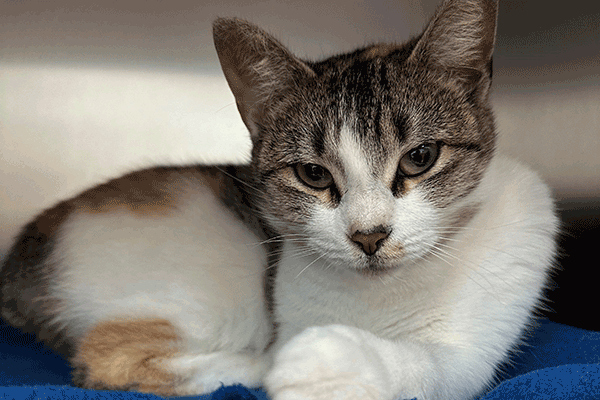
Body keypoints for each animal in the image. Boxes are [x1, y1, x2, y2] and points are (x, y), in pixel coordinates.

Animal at [0, 0, 556, 400]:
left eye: (420, 157)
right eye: (313, 174)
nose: (369, 236)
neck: (380, 295)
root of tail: (25, 255)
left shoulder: (479, 341)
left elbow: (433, 365)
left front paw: (342, 363)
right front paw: (304, 364)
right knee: (110, 356)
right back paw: (256, 365)